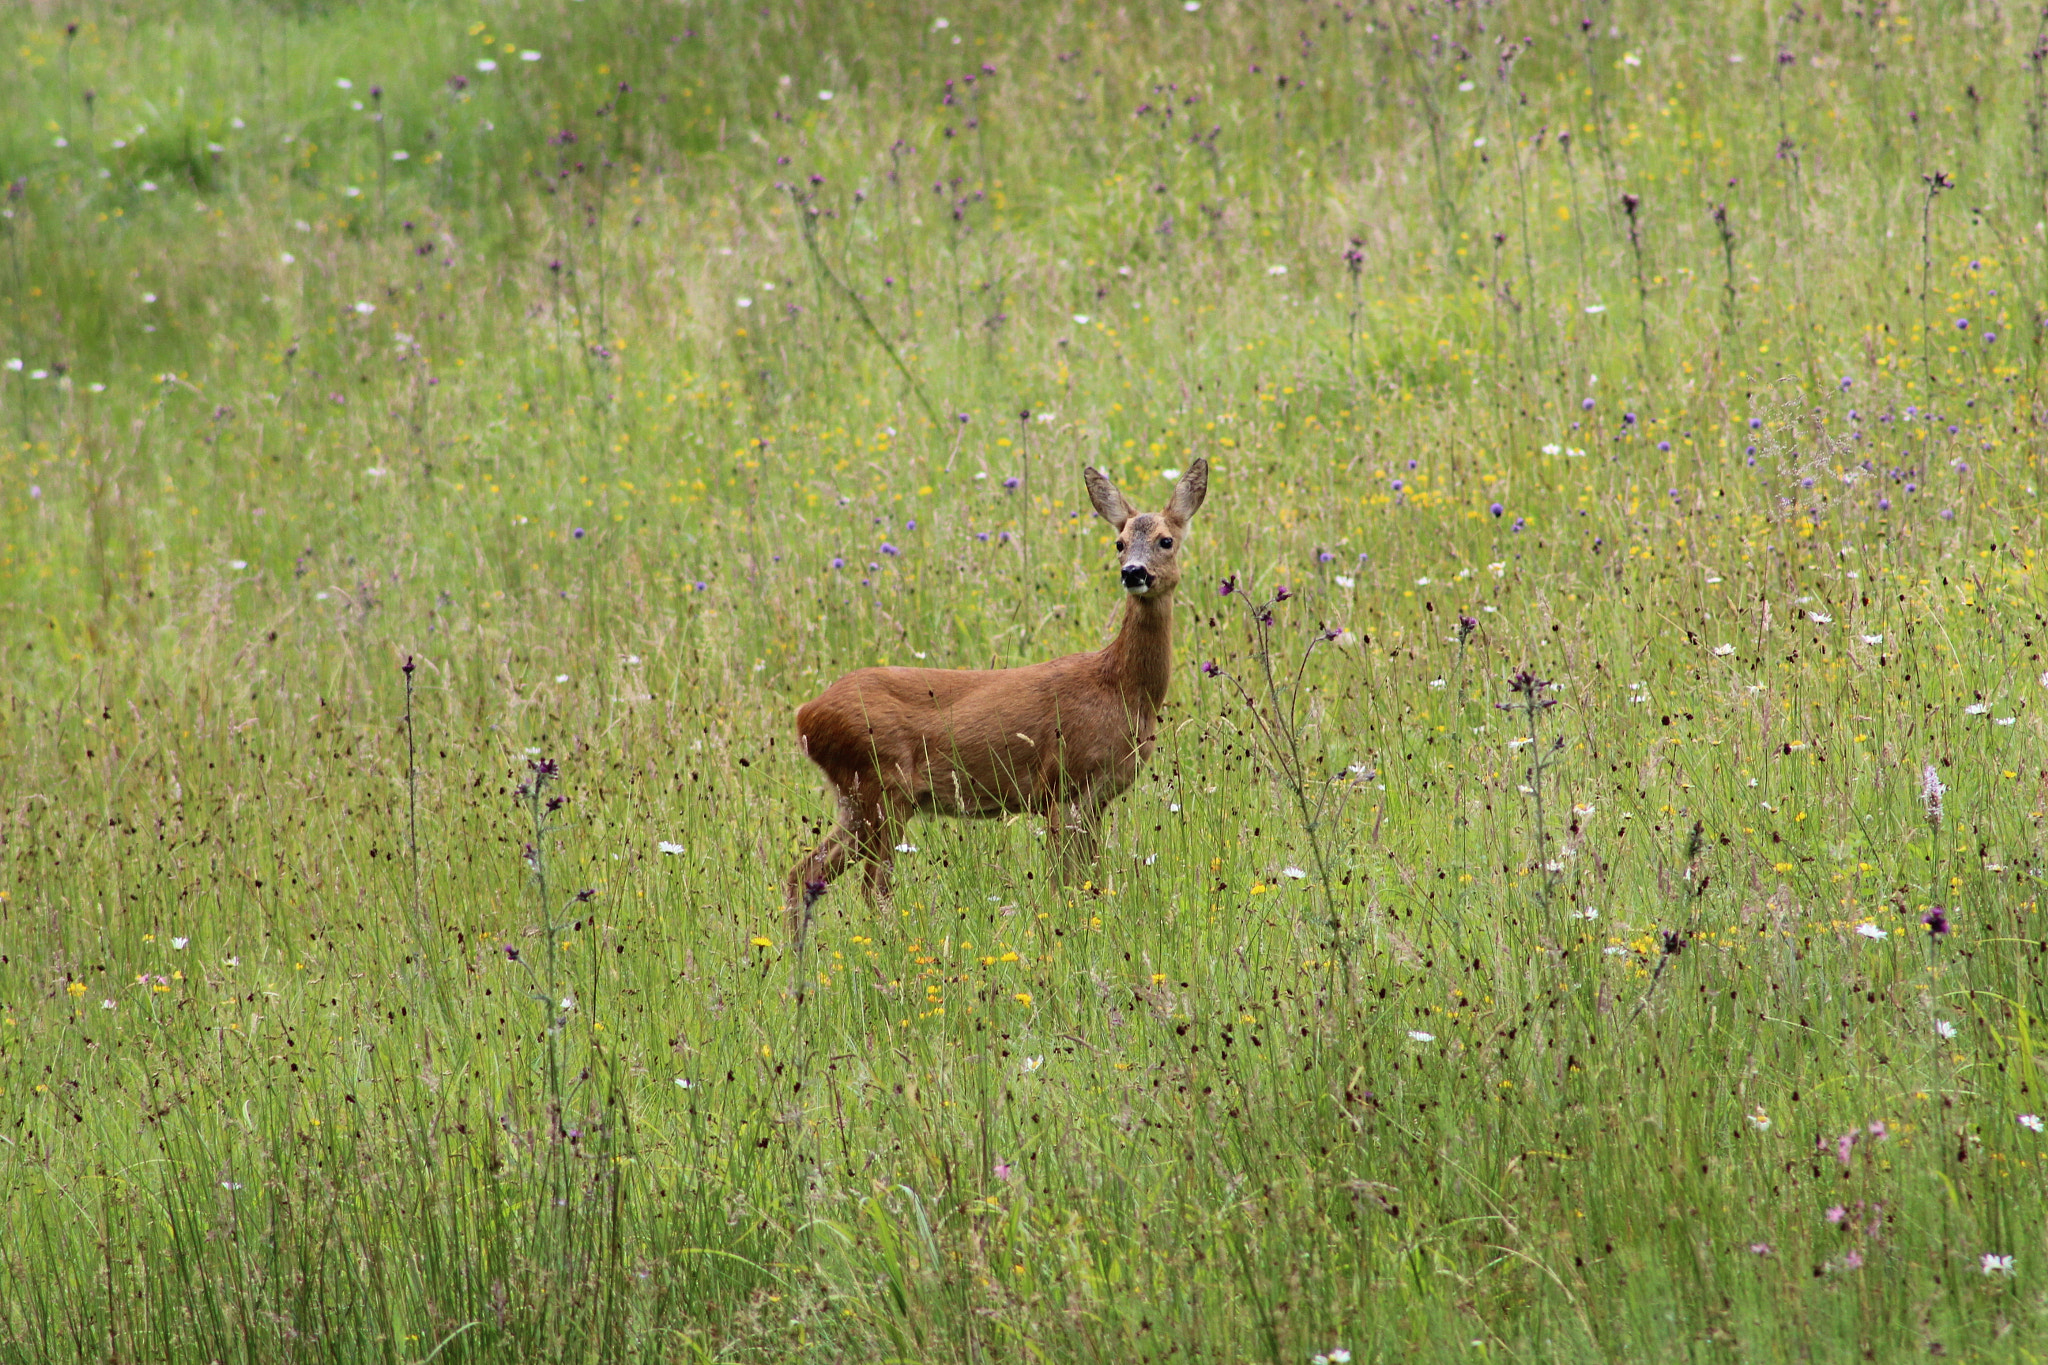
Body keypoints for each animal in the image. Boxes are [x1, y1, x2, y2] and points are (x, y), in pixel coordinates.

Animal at [778, 458, 1196, 949]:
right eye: (1120, 542)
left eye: (1166, 540)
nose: (1134, 572)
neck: (1119, 686)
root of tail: (806, 714)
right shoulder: (1061, 783)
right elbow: (1063, 884)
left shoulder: (1096, 797)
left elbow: (1090, 880)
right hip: (882, 786)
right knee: (871, 887)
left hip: (855, 798)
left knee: (804, 871)